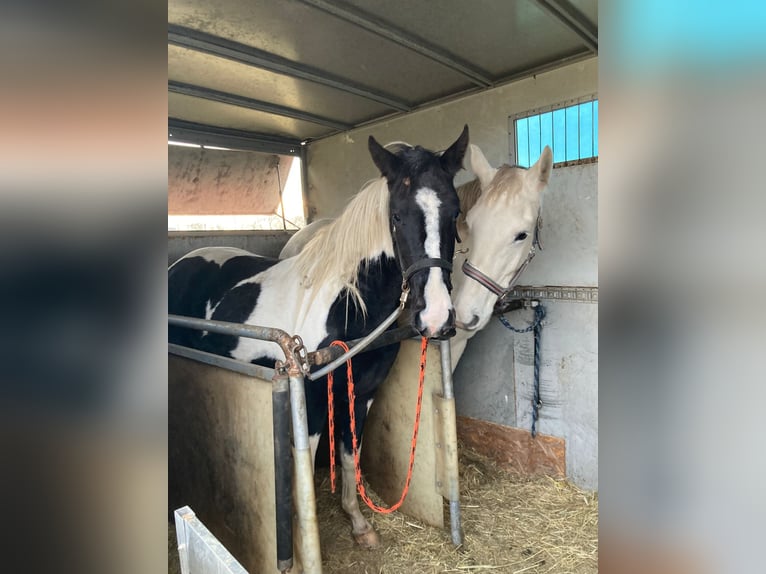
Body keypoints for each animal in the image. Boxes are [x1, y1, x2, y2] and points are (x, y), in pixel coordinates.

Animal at [169, 128, 468, 552]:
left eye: (454, 212)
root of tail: (179, 264)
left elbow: (349, 454)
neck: (347, 305)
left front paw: (358, 524)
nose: (437, 317)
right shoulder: (308, 400)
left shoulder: (360, 393)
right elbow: (306, 470)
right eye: (396, 215)